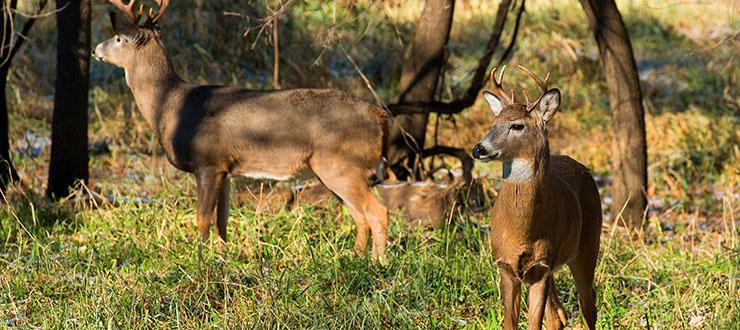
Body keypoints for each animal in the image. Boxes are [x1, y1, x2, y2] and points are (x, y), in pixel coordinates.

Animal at [94, 0, 394, 262]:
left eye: (118, 38)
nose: (96, 49)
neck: (170, 105)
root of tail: (379, 116)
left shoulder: (207, 162)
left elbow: (202, 218)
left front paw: (198, 261)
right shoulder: (225, 169)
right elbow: (222, 220)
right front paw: (222, 257)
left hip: (341, 163)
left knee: (378, 212)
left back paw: (378, 263)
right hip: (334, 169)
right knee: (359, 216)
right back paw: (353, 259)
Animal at [472, 65, 604, 330]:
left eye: (517, 126)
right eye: (494, 123)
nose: (478, 149)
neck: (523, 232)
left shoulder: (541, 268)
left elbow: (535, 323)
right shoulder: (506, 266)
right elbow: (510, 324)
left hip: (588, 244)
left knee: (588, 305)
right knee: (559, 315)